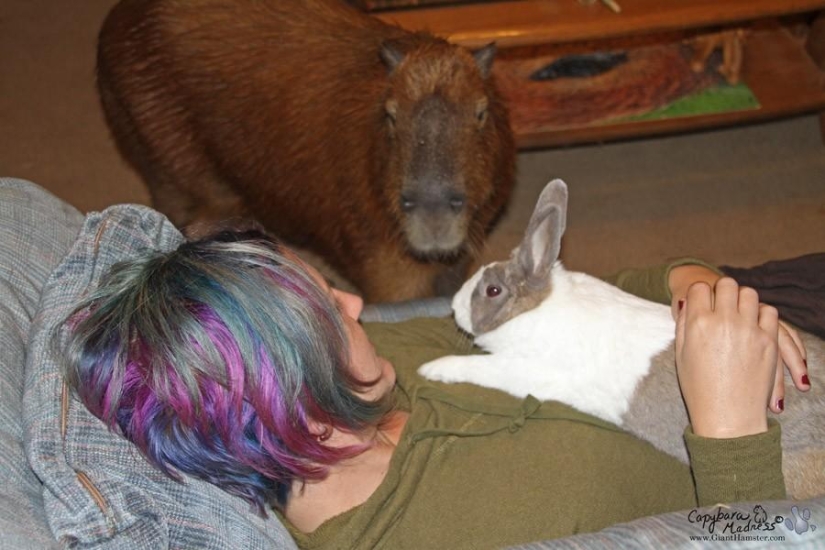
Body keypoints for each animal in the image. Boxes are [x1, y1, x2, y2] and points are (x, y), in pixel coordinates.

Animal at [422, 179, 820, 502]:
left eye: (492, 291)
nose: (454, 308)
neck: (533, 309)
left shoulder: (525, 369)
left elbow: (477, 367)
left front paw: (431, 369)